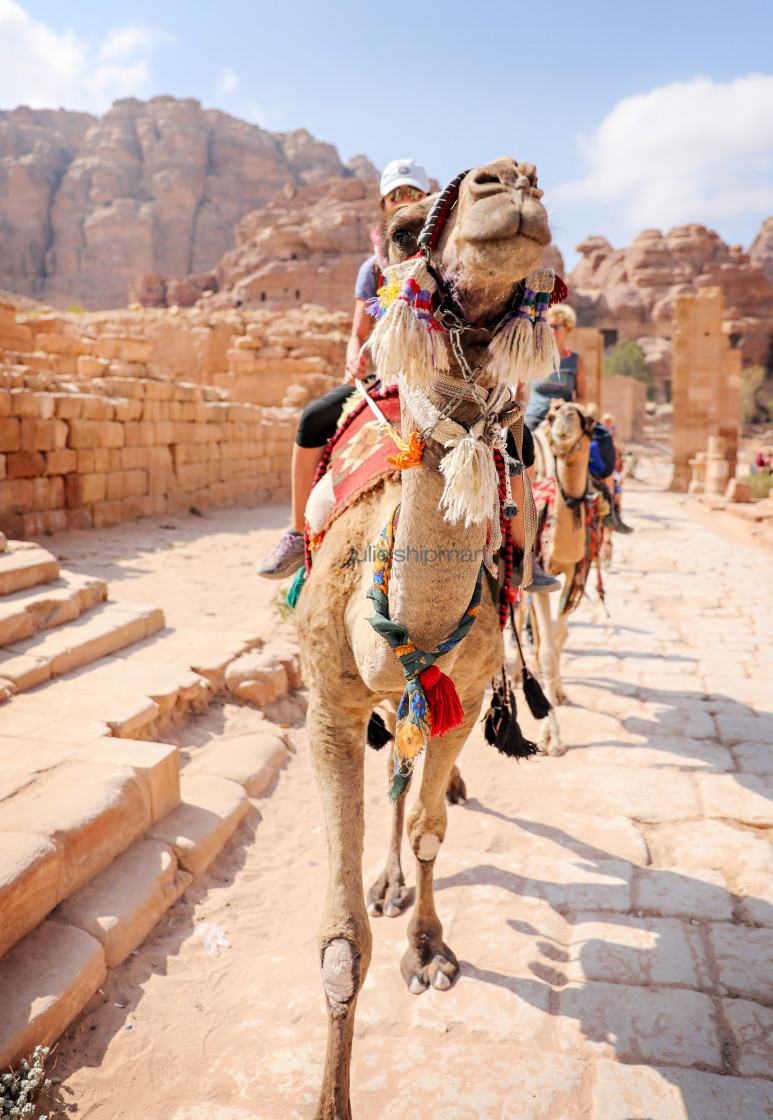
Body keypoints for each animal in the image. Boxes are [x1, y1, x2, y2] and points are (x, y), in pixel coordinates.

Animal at [295, 160, 553, 1120]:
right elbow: (339, 942)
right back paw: (386, 885)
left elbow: (433, 828)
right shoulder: (328, 706)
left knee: (413, 782)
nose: (509, 180)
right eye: (406, 235)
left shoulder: (467, 690)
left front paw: (431, 951)